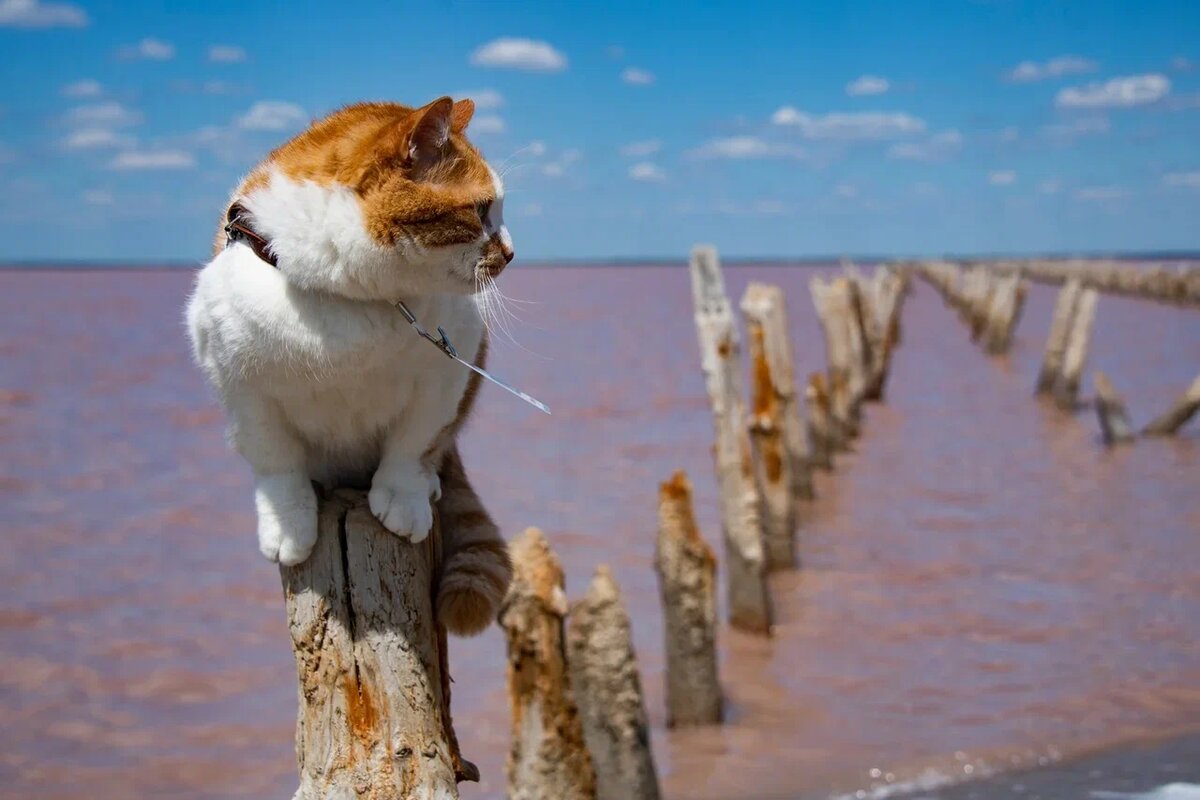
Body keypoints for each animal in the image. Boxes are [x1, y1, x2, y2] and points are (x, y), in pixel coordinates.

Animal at [186, 98, 511, 638]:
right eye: (483, 210)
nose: (511, 252)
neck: (354, 298)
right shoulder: (241, 386)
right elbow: (276, 462)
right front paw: (288, 521)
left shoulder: (449, 371)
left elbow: (413, 444)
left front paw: (404, 495)